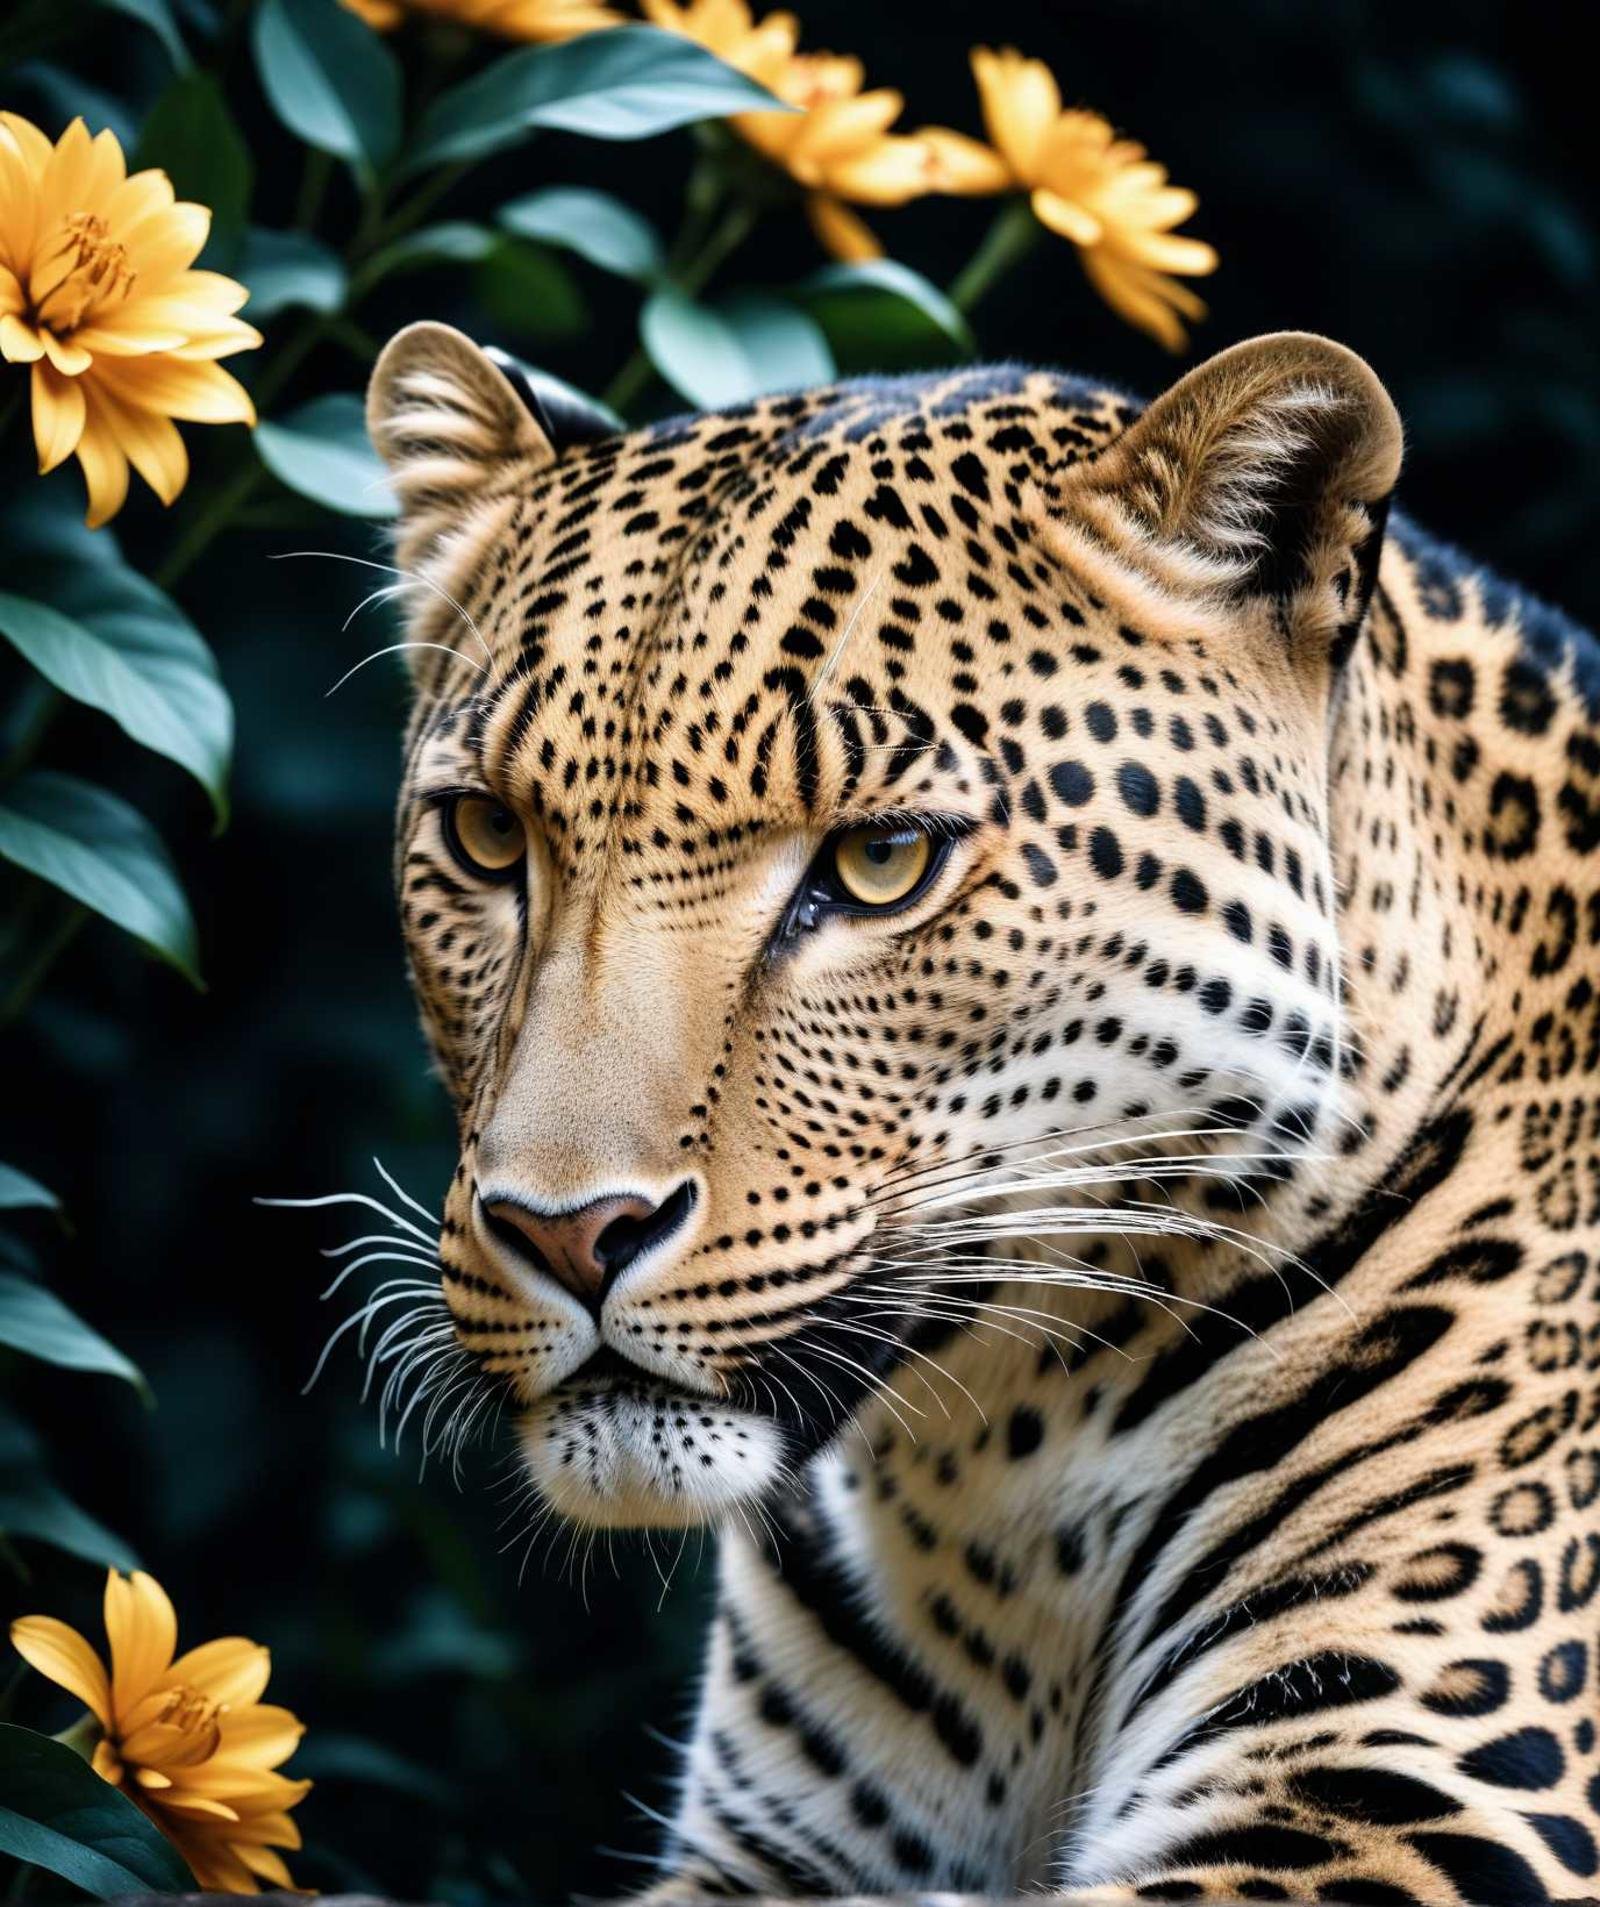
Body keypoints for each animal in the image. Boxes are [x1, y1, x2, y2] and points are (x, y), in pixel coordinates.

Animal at [362, 328, 1600, 1907]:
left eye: (883, 859)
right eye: (485, 838)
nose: (568, 1232)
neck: (996, 1483)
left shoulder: (1402, 1808)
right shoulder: (773, 1851)